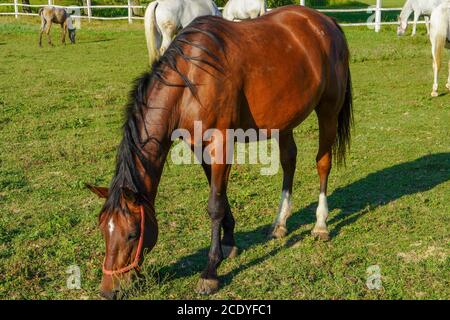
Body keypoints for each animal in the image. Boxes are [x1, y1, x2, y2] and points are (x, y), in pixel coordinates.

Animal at [88, 5, 354, 300]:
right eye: (104, 229)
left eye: (133, 234)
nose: (109, 290)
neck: (191, 79)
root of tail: (325, 21)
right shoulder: (199, 147)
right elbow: (221, 196)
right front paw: (230, 242)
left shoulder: (221, 143)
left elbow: (214, 205)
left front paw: (210, 271)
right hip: (285, 119)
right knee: (289, 162)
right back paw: (280, 223)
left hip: (328, 111)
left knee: (323, 163)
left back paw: (321, 224)